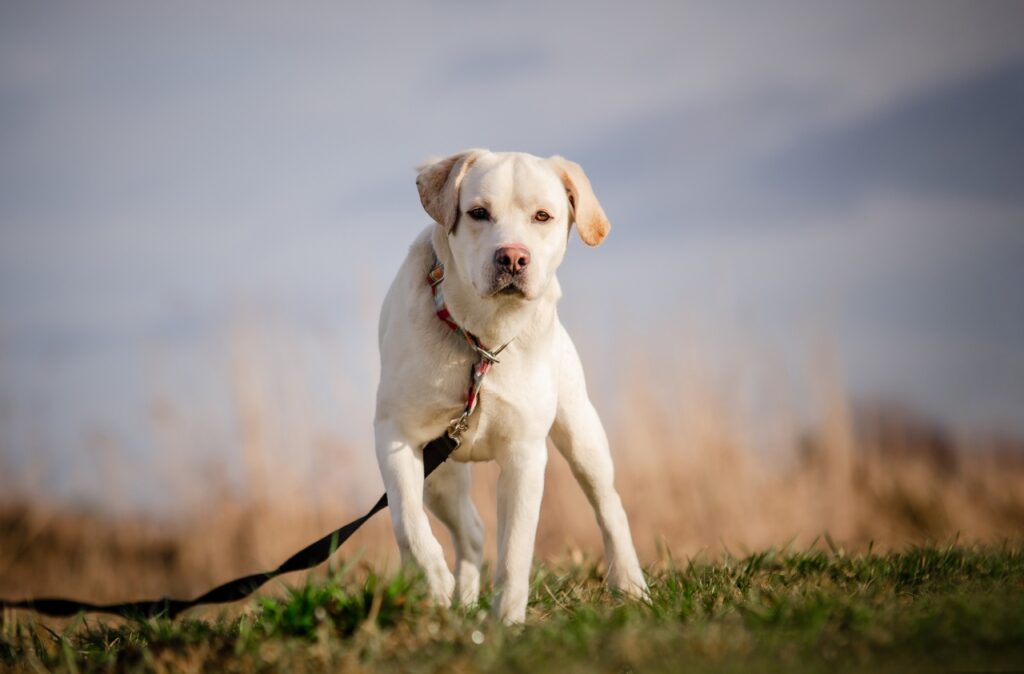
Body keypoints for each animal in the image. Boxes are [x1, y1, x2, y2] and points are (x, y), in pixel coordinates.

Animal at [376, 149, 647, 622]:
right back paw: (461, 601)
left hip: (582, 436)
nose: (513, 258)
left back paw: (631, 584)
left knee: (609, 505)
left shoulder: (524, 454)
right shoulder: (396, 435)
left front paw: (506, 621)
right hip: (438, 476)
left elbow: (516, 550)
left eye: (543, 216)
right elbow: (407, 522)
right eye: (478, 213)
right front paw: (433, 582)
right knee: (470, 532)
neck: (482, 338)